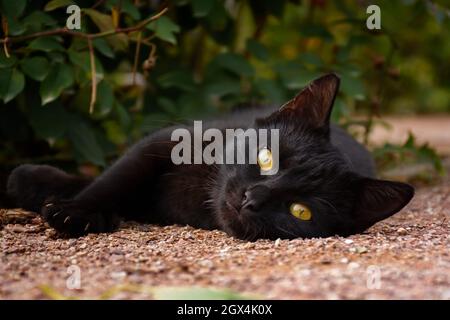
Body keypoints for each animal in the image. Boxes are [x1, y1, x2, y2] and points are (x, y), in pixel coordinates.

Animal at [6, 74, 414, 240]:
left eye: (301, 211)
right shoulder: (162, 142)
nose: (252, 198)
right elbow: (116, 178)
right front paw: (75, 210)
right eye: (266, 157)